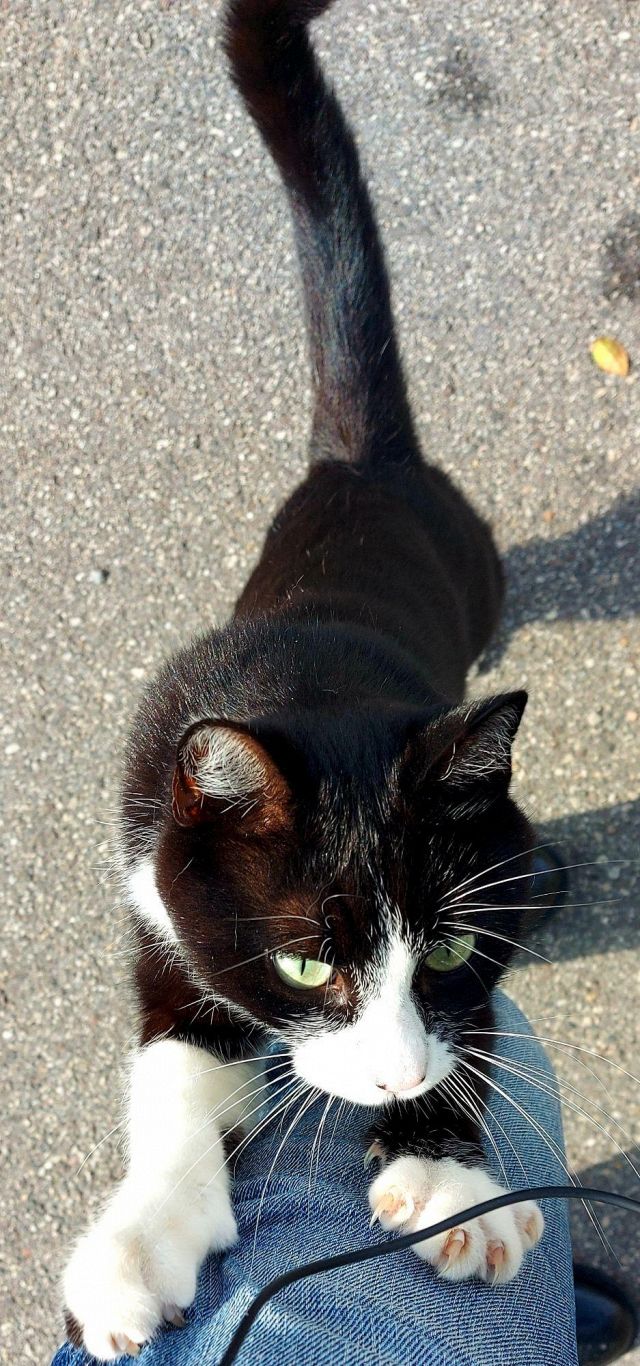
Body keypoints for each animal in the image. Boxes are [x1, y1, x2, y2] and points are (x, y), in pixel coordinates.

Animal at [63, 0, 544, 1357]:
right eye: (302, 968)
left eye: (444, 950)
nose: (391, 1079)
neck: (311, 681)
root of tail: (364, 463)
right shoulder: (159, 882)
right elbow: (174, 1051)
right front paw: (138, 1250)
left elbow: (481, 1011)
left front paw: (448, 1176)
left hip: (477, 562)